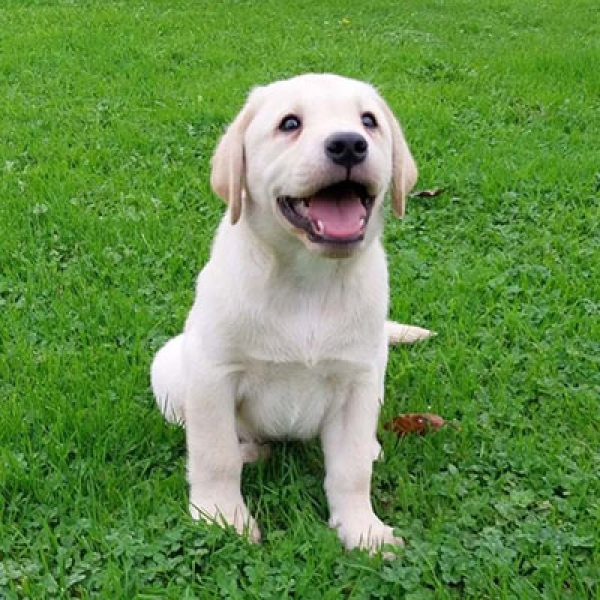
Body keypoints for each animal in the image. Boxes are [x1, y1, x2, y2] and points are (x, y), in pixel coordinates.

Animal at [151, 74, 432, 552]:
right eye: (289, 124)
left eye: (369, 121)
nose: (348, 145)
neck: (309, 279)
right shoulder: (213, 372)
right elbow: (214, 454)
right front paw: (220, 517)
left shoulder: (357, 381)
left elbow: (351, 469)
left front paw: (362, 528)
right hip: (169, 367)